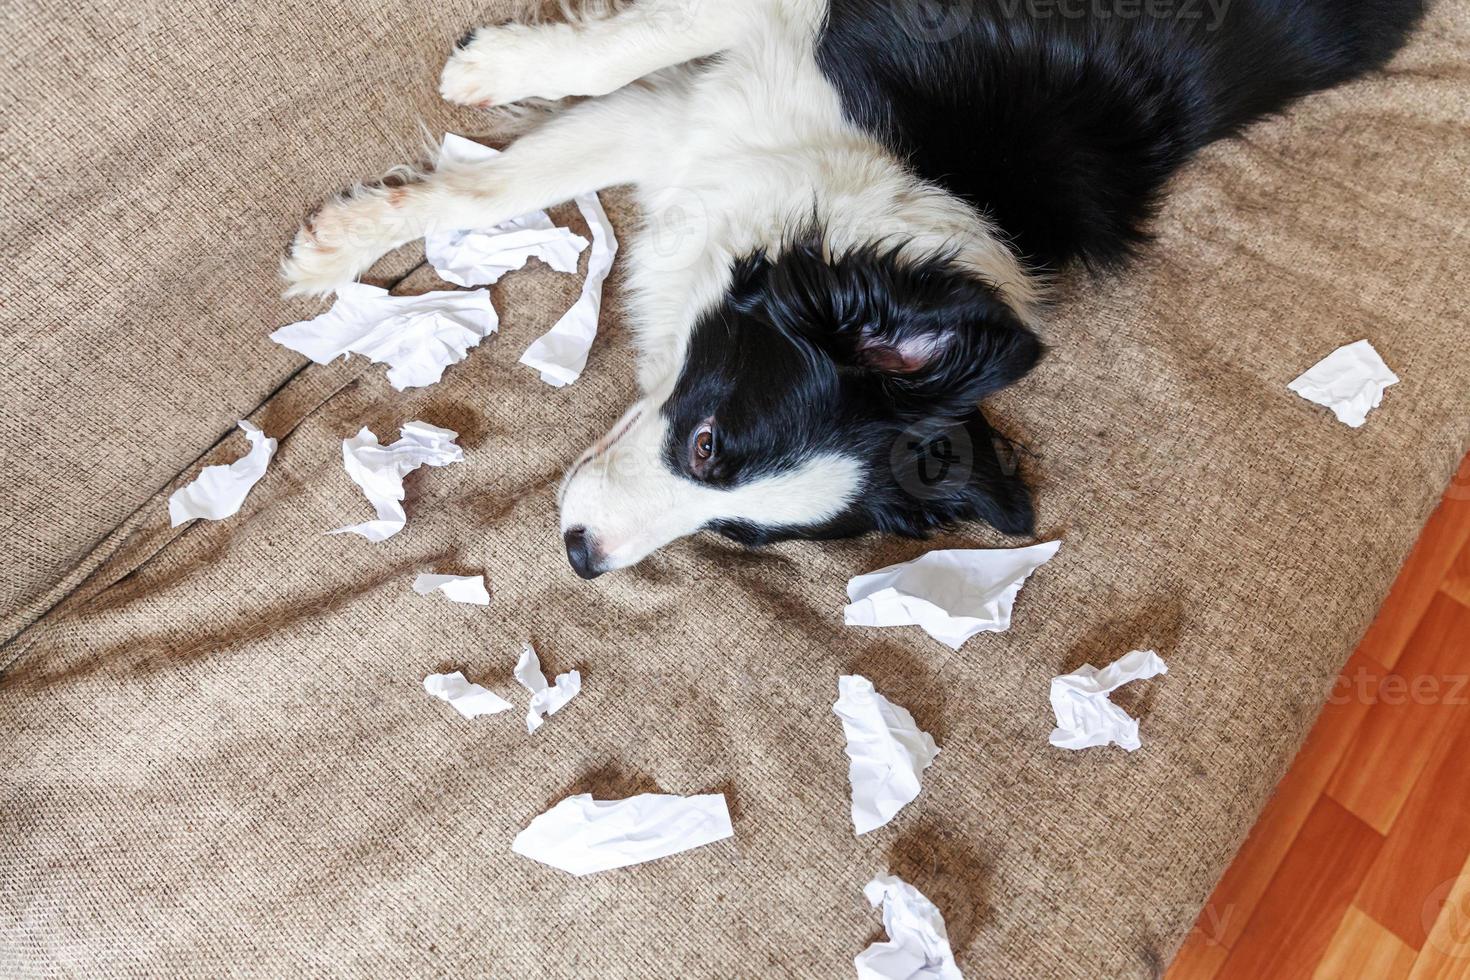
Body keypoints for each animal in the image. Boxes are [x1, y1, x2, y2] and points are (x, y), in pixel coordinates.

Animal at [283, 0, 1422, 578]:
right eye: (707, 443)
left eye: (737, 530)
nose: (580, 557)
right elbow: (576, 104)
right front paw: (343, 242)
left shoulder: (700, 142)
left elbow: (514, 174)